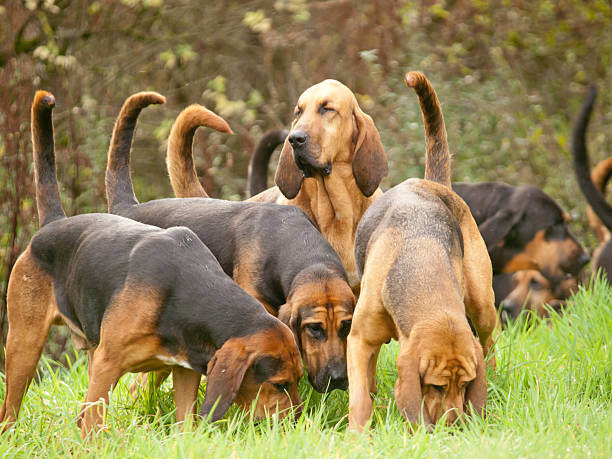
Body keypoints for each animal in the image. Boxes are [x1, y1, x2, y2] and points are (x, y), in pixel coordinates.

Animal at [0, 91, 304, 436]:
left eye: (299, 379)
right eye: (279, 384)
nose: (301, 424)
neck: (186, 294)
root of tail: (54, 224)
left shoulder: (185, 371)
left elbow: (186, 424)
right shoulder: (107, 365)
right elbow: (92, 423)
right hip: (24, 345)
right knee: (11, 411)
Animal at [344, 72, 498, 432]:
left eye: (466, 385)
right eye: (437, 386)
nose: (453, 425)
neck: (425, 275)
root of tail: (435, 184)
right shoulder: (357, 339)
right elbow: (359, 397)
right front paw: (357, 433)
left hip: (482, 305)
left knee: (489, 342)